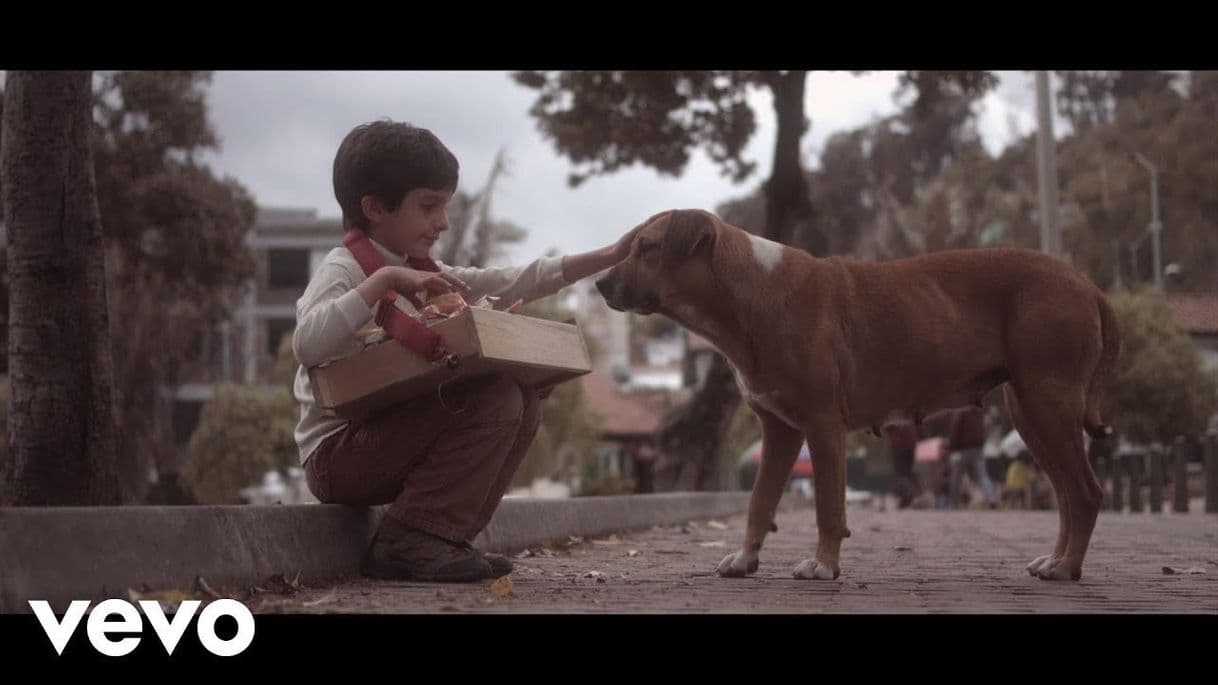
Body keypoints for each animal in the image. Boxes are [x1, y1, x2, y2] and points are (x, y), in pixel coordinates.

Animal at [594, 209, 1115, 580]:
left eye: (646, 247)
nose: (599, 282)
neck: (751, 292)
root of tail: (1086, 284)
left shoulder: (822, 427)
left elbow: (828, 504)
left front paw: (823, 565)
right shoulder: (780, 431)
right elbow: (759, 501)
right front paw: (745, 560)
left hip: (1048, 402)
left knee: (1085, 492)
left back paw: (1068, 568)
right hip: (1030, 411)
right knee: (1066, 496)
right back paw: (1056, 561)